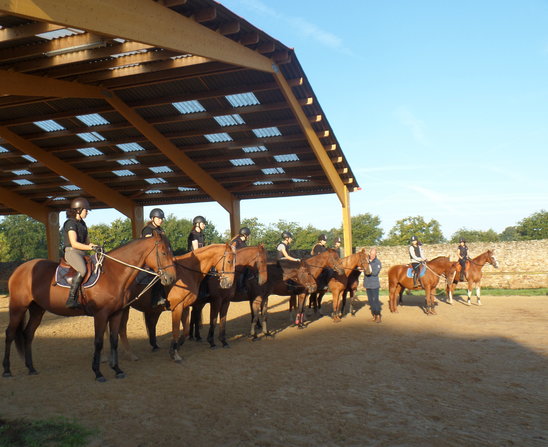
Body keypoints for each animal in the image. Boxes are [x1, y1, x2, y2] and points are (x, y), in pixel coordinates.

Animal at [2, 233, 173, 384]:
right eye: (164, 252)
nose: (171, 278)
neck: (113, 274)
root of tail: (20, 269)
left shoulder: (116, 313)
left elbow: (114, 340)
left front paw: (117, 370)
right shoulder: (101, 315)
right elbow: (98, 342)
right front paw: (98, 373)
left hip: (37, 309)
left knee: (28, 334)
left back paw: (31, 368)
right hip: (18, 307)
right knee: (10, 334)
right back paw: (7, 370)